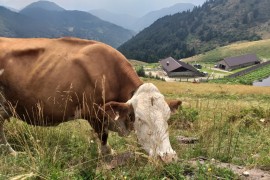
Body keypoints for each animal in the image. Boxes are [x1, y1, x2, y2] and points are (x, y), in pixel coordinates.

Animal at [0, 37, 181, 162]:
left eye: (167, 117)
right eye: (140, 119)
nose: (168, 157)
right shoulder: (95, 114)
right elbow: (103, 137)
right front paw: (107, 155)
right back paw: (12, 152)